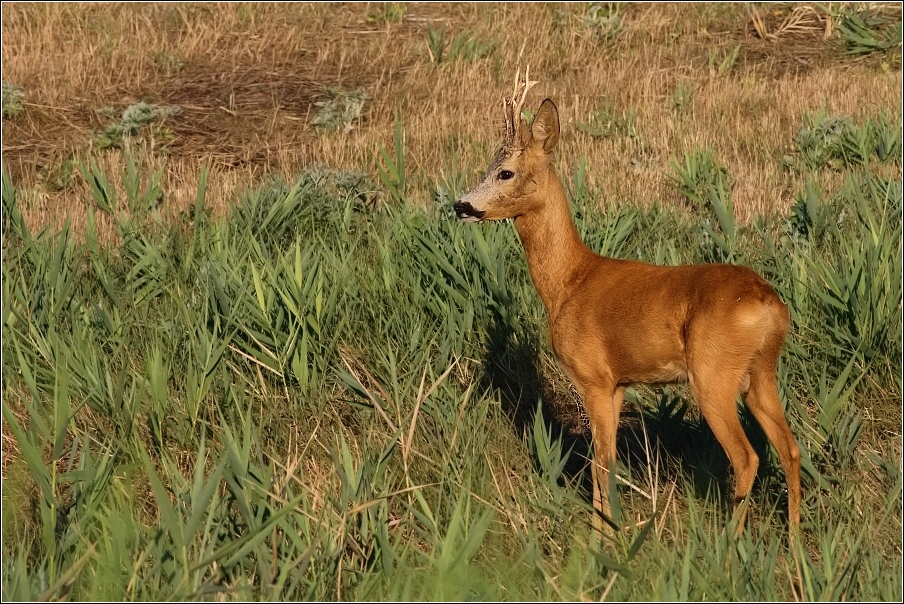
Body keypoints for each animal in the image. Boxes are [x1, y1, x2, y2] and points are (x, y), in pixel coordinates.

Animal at [456, 69, 800, 532]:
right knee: (790, 448)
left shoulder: (595, 377)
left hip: (714, 372)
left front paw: (602, 535)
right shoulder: (619, 382)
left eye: (505, 172)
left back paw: (731, 541)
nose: (461, 205)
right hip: (761, 374)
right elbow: (609, 460)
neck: (568, 283)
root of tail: (768, 303)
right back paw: (795, 540)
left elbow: (599, 461)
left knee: (747, 457)